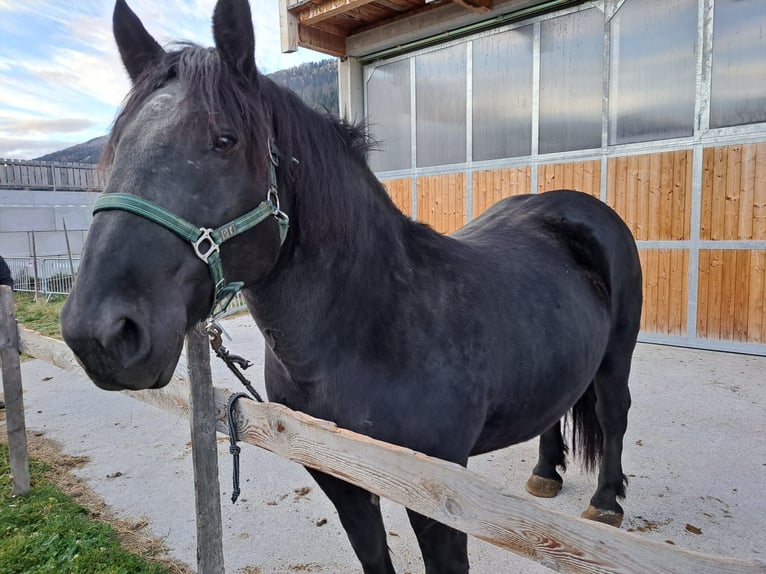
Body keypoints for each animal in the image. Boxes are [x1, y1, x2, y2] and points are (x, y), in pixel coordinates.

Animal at [63, 2, 644, 572]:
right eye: (118, 148)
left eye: (225, 140)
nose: (100, 333)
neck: (371, 330)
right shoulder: (341, 480)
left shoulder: (439, 499)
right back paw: (546, 475)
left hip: (616, 357)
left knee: (613, 414)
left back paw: (605, 503)